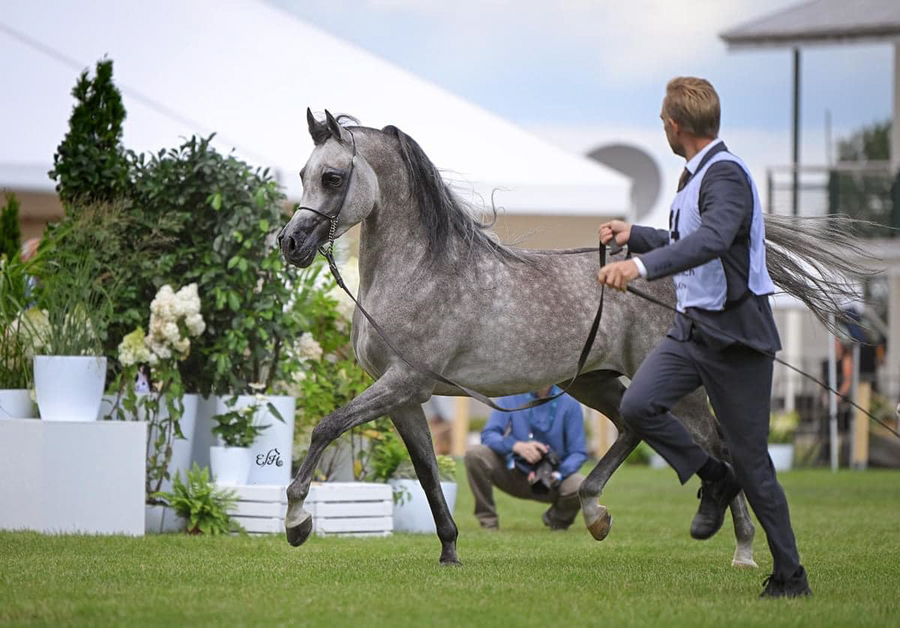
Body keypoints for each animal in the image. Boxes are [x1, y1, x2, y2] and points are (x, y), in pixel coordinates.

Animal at [280, 109, 864, 568]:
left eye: (332, 177)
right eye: (304, 173)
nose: (290, 243)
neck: (420, 272)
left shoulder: (404, 382)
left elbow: (325, 428)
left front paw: (296, 520)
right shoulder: (405, 396)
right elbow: (425, 472)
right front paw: (449, 550)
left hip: (677, 387)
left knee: (715, 445)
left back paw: (741, 548)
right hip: (593, 381)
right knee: (632, 425)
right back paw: (594, 511)